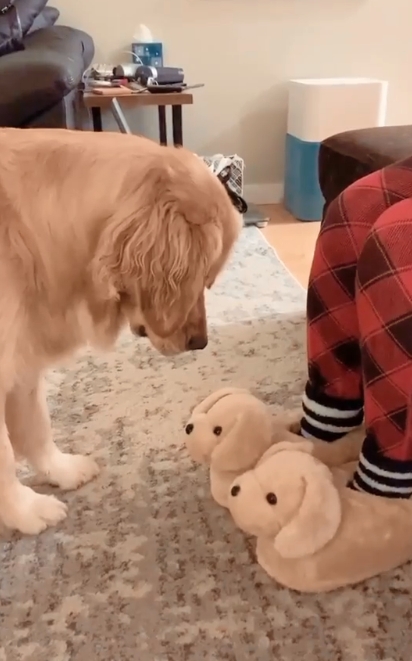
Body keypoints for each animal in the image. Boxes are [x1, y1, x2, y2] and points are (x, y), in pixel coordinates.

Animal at [0, 126, 241, 532]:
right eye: (200, 276)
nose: (201, 342)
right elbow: (4, 456)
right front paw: (26, 510)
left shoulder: (23, 360)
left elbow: (37, 426)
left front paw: (60, 471)